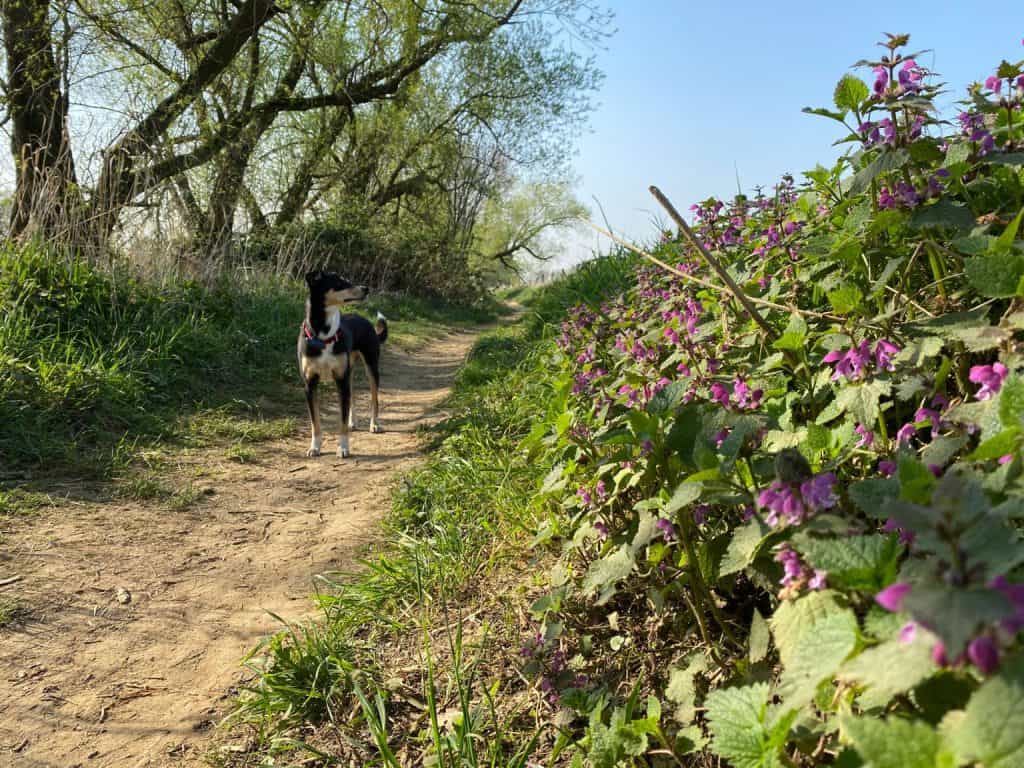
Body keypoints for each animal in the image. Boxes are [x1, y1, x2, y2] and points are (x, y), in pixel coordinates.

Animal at [299, 272, 391, 456]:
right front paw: (315, 447)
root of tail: (363, 318)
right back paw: (353, 422)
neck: (324, 336)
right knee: (353, 397)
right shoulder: (310, 384)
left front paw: (342, 448)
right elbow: (315, 422)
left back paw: (374, 424)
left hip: (371, 367)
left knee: (374, 399)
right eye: (340, 283)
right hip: (350, 372)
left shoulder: (341, 381)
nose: (366, 288)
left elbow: (341, 422)